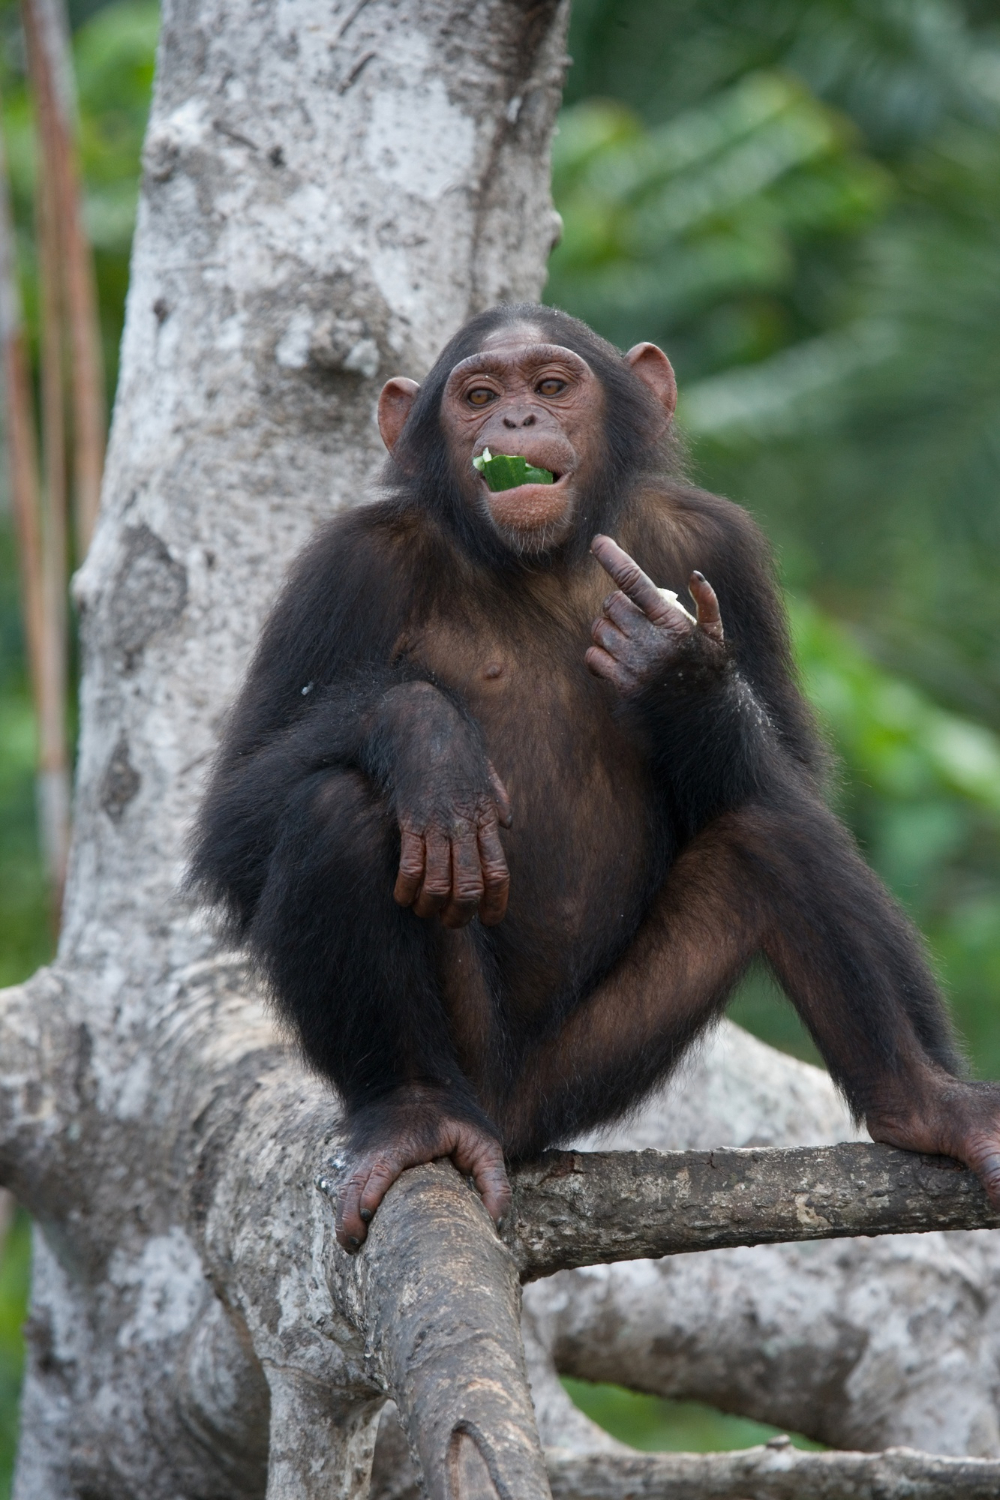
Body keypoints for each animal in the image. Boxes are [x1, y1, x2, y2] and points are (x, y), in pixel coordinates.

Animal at [191, 302, 1000, 1251]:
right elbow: (234, 817)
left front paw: (681, 672)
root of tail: (505, 1120)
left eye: (550, 385)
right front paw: (428, 741)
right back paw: (410, 1116)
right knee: (334, 808)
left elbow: (790, 775)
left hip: (584, 1073)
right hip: (475, 1058)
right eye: (477, 395)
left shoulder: (719, 544)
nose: (515, 420)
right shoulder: (345, 568)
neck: (545, 559)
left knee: (772, 829)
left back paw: (930, 1106)